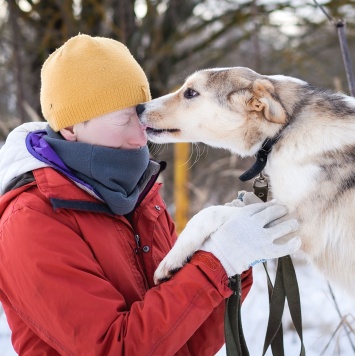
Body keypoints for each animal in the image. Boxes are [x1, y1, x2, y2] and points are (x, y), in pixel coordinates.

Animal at [138, 67, 355, 298]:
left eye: (191, 93)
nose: (138, 108)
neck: (283, 131)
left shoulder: (301, 221)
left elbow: (208, 213)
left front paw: (172, 258)